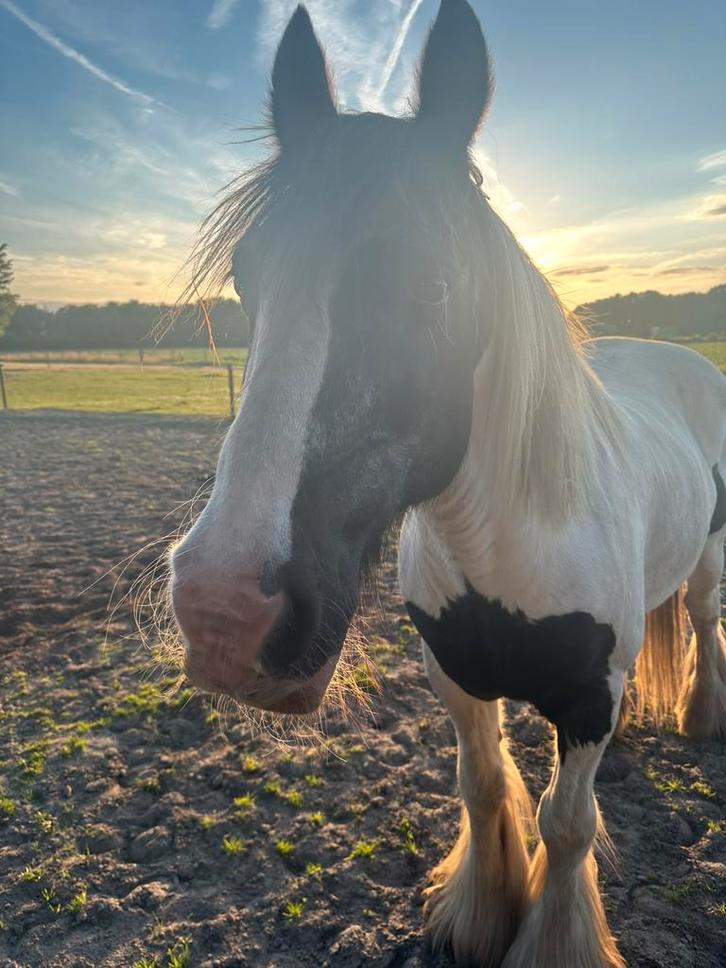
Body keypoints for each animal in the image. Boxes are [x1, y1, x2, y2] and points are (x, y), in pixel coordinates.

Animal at [168, 2, 726, 965]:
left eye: (431, 284)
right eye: (247, 277)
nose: (222, 613)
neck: (504, 550)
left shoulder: (589, 698)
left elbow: (568, 827)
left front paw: (549, 939)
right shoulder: (454, 675)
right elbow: (484, 784)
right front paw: (476, 917)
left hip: (710, 560)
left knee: (701, 619)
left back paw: (700, 717)